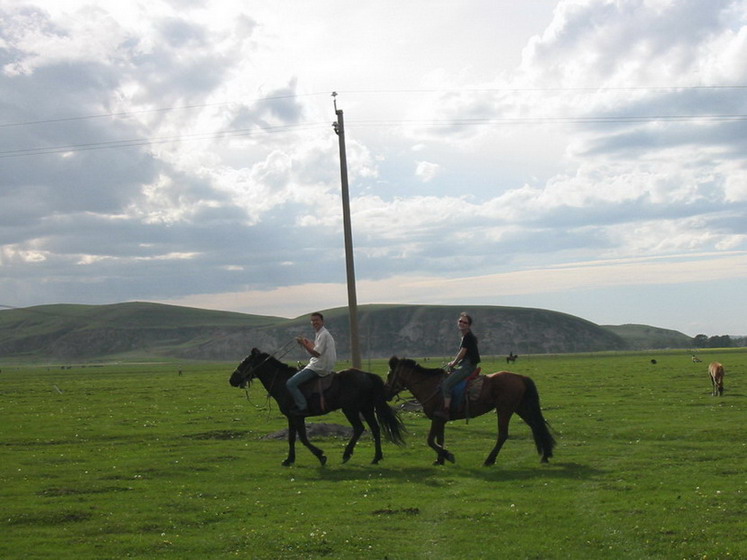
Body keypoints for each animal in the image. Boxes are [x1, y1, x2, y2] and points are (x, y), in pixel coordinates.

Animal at [229, 348, 406, 466]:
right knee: (375, 429)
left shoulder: (297, 416)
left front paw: (321, 456)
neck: (283, 382)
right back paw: (376, 457)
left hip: (351, 409)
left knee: (359, 428)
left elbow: (303, 438)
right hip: (366, 408)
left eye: (244, 363)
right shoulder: (292, 417)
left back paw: (347, 454)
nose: (232, 379)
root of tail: (367, 375)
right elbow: (292, 438)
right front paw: (289, 459)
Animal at [386, 356, 556, 466]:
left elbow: (430, 440)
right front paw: (440, 459)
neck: (431, 385)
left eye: (389, 375)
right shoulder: (441, 419)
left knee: (503, 435)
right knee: (536, 426)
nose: (386, 392)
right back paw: (546, 455)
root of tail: (521, 377)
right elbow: (439, 439)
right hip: (520, 407)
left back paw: (489, 460)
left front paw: (448, 455)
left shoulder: (437, 417)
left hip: (505, 409)